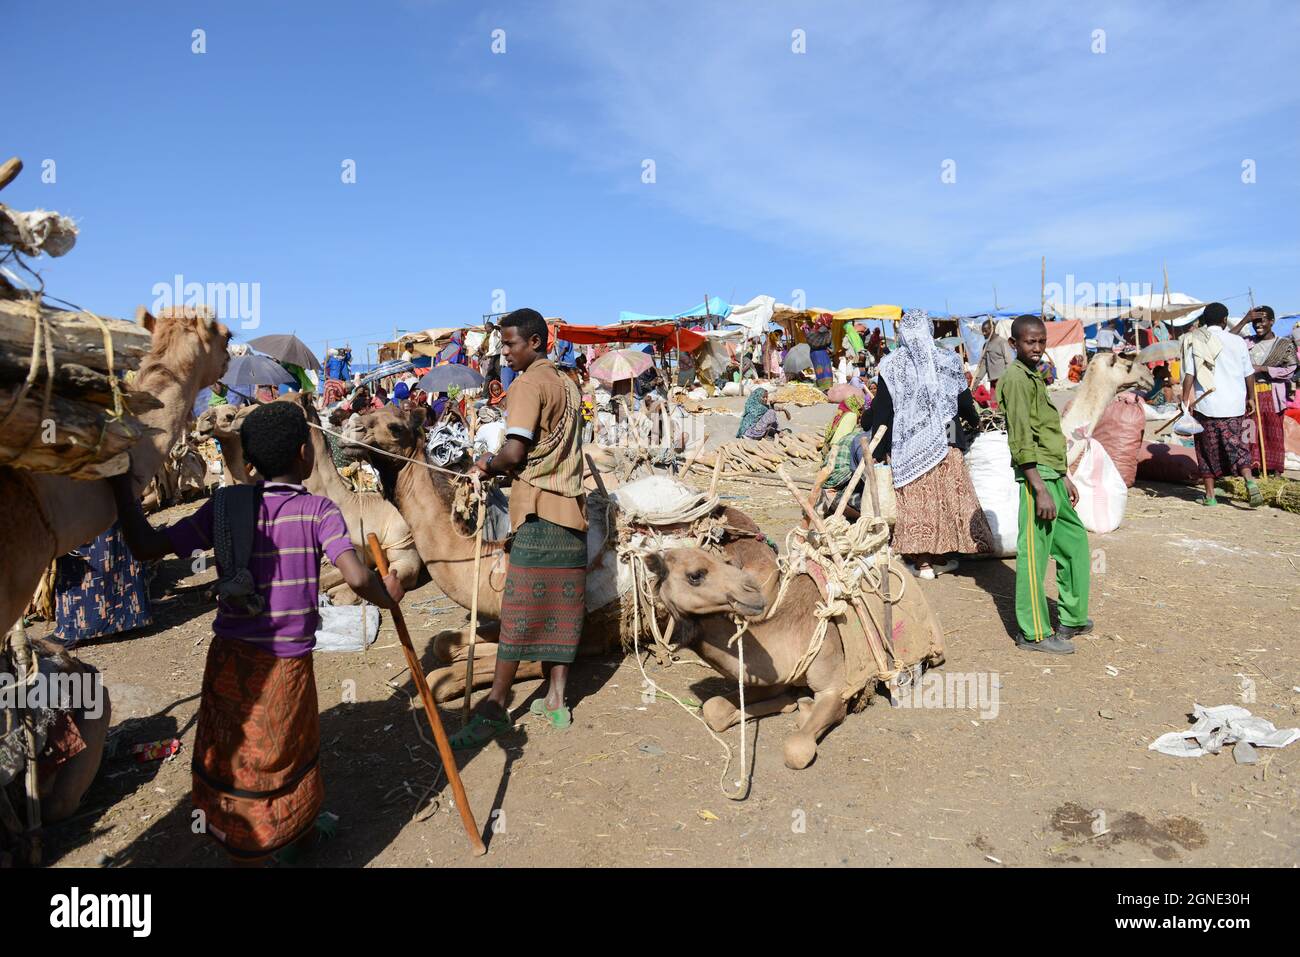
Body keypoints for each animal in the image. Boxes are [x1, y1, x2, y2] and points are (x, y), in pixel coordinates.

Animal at [639, 538, 946, 769]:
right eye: (695, 575)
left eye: (725, 562)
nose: (752, 592)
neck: (790, 632)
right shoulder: (777, 676)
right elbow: (714, 708)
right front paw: (790, 704)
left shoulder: (833, 689)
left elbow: (797, 748)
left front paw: (808, 711)